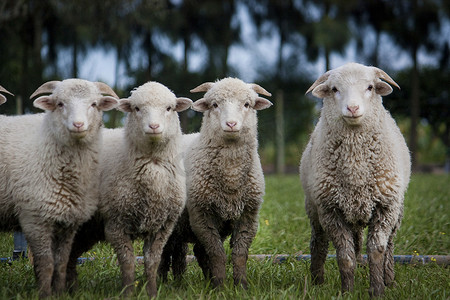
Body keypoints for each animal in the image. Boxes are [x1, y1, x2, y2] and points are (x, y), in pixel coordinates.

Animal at [0, 79, 118, 298]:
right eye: (60, 104)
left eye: (94, 104)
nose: (78, 124)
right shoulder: (34, 219)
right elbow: (46, 263)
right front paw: (45, 294)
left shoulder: (68, 221)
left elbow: (61, 263)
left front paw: (59, 292)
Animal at [66, 81, 192, 298]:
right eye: (137, 108)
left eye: (169, 108)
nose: (154, 127)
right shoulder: (116, 224)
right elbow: (128, 262)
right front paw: (128, 292)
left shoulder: (162, 227)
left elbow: (152, 262)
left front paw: (152, 292)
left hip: (88, 229)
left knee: (71, 254)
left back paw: (71, 290)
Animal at [160, 78, 272, 290]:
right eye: (214, 105)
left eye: (247, 104)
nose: (231, 124)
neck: (231, 175)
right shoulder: (201, 215)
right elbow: (217, 253)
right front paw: (220, 287)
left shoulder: (249, 215)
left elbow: (239, 254)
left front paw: (240, 286)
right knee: (166, 252)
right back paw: (163, 281)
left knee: (186, 252)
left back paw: (187, 282)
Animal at [298, 62, 412, 296]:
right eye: (334, 89)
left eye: (370, 87)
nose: (352, 108)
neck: (355, 167)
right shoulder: (331, 210)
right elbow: (344, 255)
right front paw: (347, 292)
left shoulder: (385, 207)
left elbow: (377, 250)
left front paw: (377, 290)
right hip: (316, 209)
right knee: (319, 242)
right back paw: (317, 281)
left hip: (396, 210)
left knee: (390, 245)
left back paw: (390, 279)